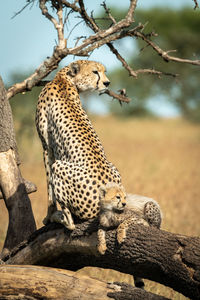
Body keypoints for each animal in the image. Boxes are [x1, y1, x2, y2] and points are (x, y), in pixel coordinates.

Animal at [35, 60, 121, 230]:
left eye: (104, 71)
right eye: (95, 72)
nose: (107, 83)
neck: (64, 79)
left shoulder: (47, 148)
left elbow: (49, 187)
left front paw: (48, 216)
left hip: (59, 166)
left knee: (71, 224)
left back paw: (59, 217)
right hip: (114, 169)